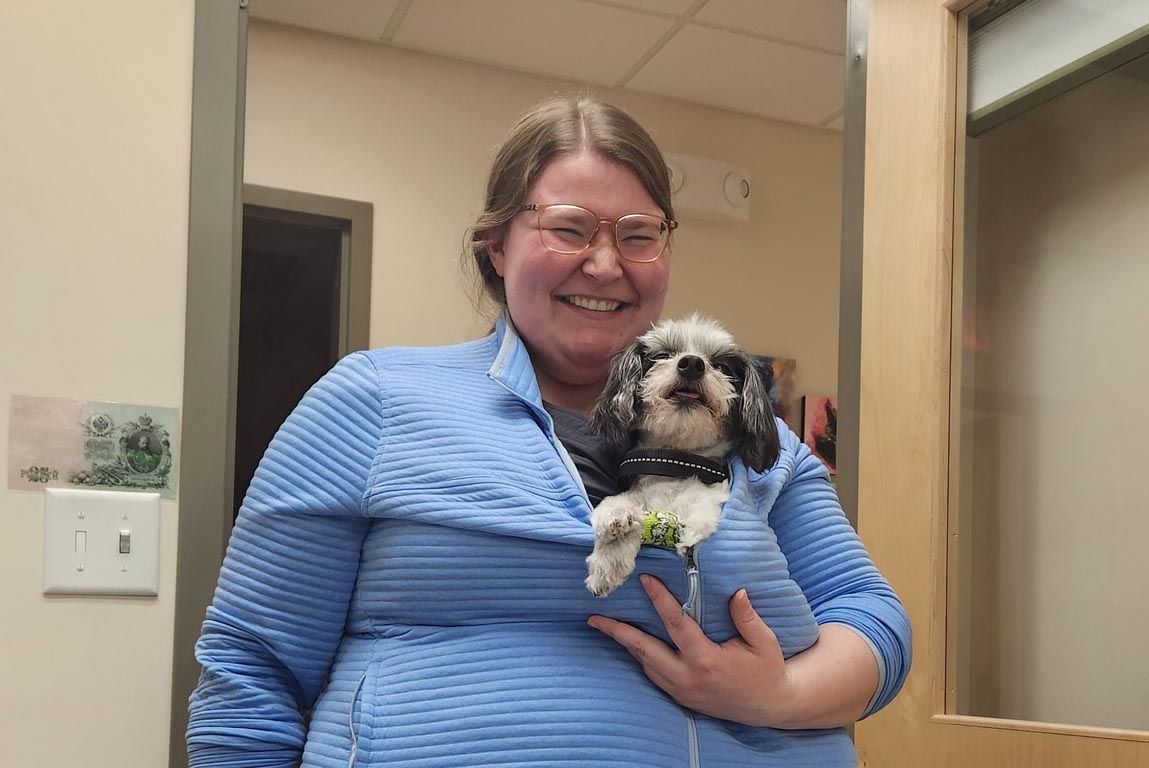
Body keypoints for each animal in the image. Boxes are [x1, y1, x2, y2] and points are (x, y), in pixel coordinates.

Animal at [584, 315, 781, 597]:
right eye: (662, 355)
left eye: (721, 365)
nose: (692, 364)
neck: (677, 464)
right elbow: (622, 505)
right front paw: (612, 545)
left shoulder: (707, 506)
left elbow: (692, 522)